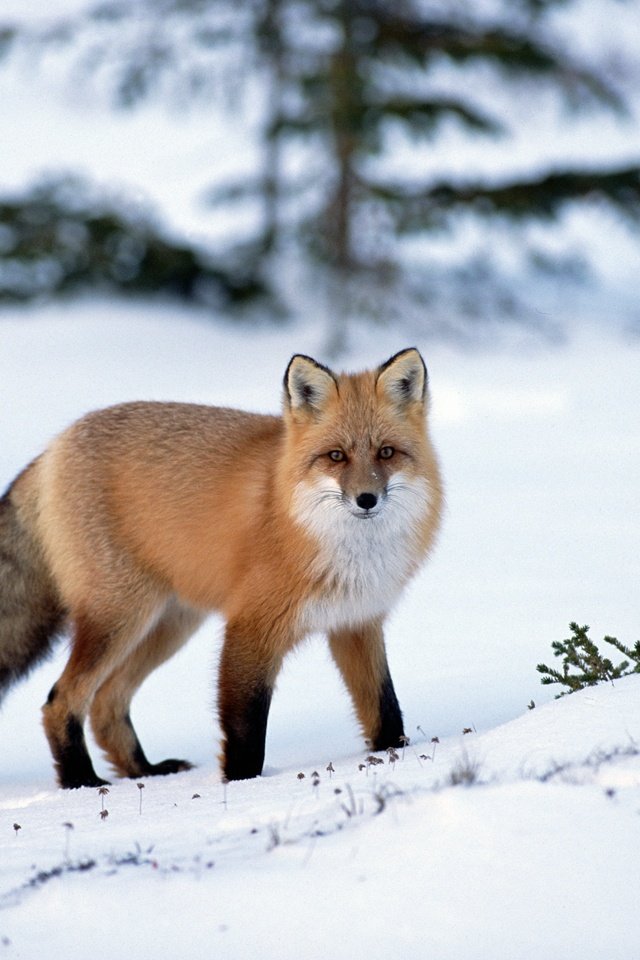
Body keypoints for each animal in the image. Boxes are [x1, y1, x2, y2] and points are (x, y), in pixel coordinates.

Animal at [0, 348, 442, 788]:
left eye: (386, 452)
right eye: (336, 456)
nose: (366, 499)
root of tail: (55, 445)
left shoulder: (356, 623)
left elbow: (385, 708)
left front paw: (395, 757)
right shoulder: (251, 627)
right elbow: (245, 726)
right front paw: (241, 788)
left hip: (169, 626)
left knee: (106, 703)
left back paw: (145, 771)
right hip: (119, 618)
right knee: (61, 700)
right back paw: (82, 782)